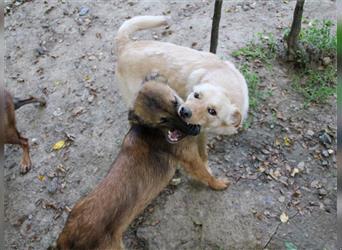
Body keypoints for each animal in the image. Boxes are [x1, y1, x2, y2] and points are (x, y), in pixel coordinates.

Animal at [55, 77, 230, 249]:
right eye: (163, 120)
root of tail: (66, 238)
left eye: (175, 103)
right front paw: (218, 183)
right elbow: (205, 173)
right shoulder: (191, 159)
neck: (153, 130)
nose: (190, 123)